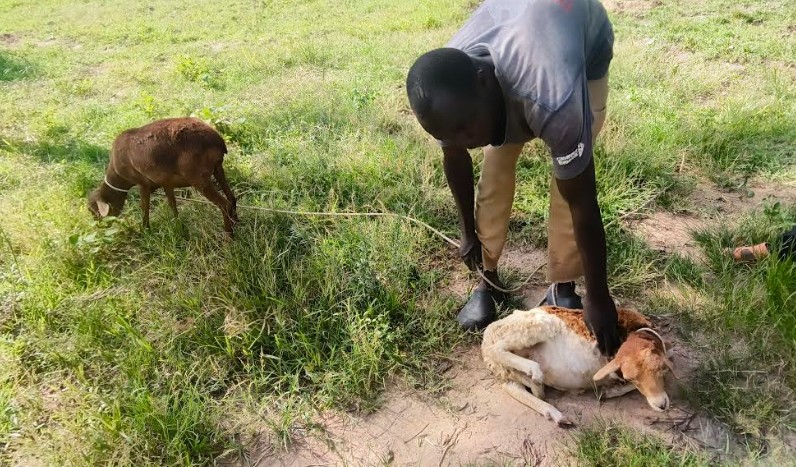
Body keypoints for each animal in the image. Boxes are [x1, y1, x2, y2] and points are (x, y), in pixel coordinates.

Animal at [87, 117, 238, 234]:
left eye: (94, 211)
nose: (100, 228)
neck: (119, 176)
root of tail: (217, 140)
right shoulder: (166, 182)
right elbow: (172, 204)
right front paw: (177, 224)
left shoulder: (143, 183)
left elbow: (144, 207)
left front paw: (145, 230)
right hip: (218, 168)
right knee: (231, 197)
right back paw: (236, 223)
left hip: (199, 178)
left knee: (224, 204)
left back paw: (228, 235)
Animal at [482, 306, 674, 427]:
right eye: (631, 377)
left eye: (660, 369)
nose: (661, 405)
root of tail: (488, 334)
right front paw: (609, 391)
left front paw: (607, 392)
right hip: (535, 328)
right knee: (497, 349)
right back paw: (534, 371)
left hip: (509, 372)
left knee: (519, 389)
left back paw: (552, 408)